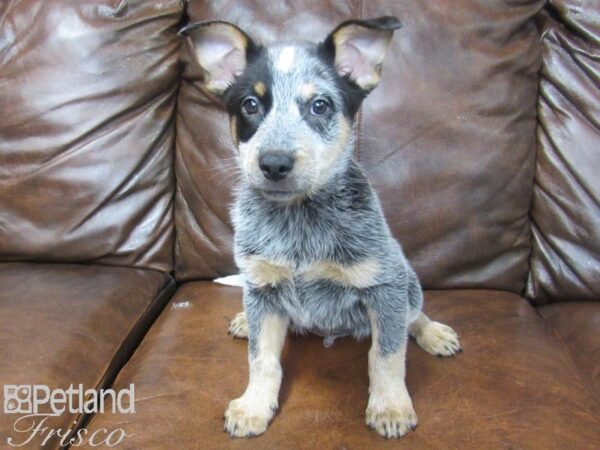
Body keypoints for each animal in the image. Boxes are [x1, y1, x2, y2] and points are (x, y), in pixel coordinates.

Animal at [180, 16, 462, 440]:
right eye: (250, 104)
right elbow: (261, 358)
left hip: (406, 279)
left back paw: (433, 333)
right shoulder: (263, 282)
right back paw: (246, 320)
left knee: (413, 315)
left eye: (320, 105)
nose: (274, 163)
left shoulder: (385, 286)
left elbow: (386, 354)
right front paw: (253, 406)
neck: (298, 220)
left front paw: (390, 407)